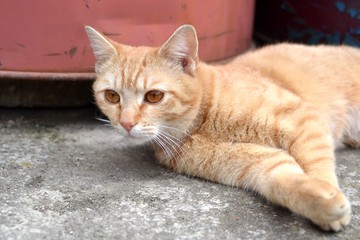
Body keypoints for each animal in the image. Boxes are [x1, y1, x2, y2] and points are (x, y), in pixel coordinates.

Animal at [85, 23, 360, 231]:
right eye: (112, 96)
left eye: (154, 96)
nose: (126, 123)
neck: (204, 122)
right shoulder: (259, 163)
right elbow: (286, 182)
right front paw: (322, 204)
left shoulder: (303, 119)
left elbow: (318, 167)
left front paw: (332, 198)